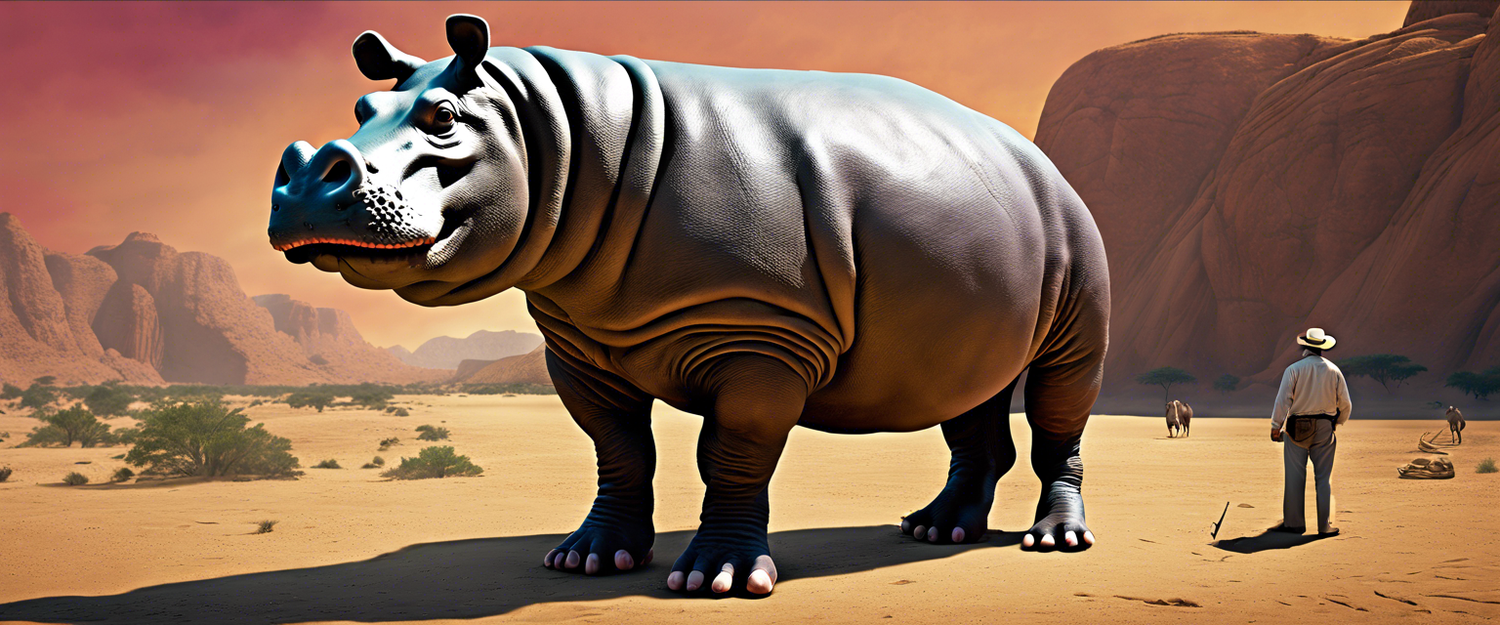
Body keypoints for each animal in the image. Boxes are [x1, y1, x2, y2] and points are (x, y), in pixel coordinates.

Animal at [268, 15, 1109, 595]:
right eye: (359, 108)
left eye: (442, 119)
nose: (303, 185)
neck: (556, 131)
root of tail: (1040, 160)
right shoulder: (578, 338)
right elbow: (616, 445)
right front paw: (587, 557)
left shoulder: (762, 330)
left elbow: (732, 451)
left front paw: (720, 580)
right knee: (966, 383)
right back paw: (933, 530)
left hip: (1077, 231)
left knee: (1063, 381)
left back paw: (1055, 541)